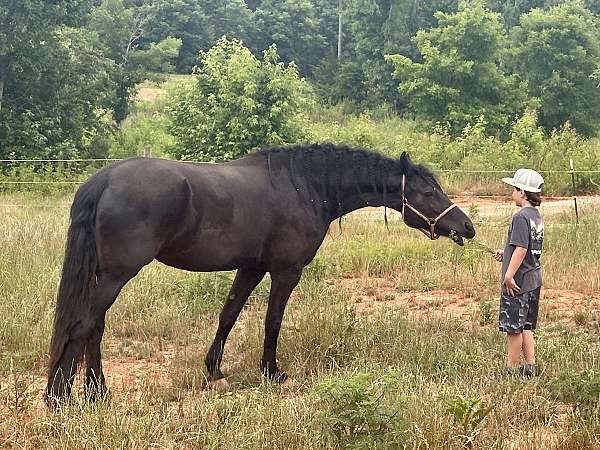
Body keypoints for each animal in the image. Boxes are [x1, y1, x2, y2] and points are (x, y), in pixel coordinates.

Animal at [44, 144, 476, 404]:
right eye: (427, 192)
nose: (467, 227)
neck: (304, 186)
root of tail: (104, 180)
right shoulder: (285, 271)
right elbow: (272, 320)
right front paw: (271, 372)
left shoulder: (251, 267)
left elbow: (229, 314)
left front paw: (214, 369)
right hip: (117, 275)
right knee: (83, 326)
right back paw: (58, 398)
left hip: (106, 275)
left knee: (94, 327)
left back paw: (97, 393)